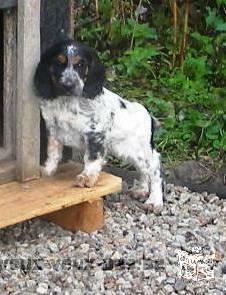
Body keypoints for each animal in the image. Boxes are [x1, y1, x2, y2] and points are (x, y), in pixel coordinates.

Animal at [34, 39, 164, 212]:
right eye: (58, 63)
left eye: (80, 64)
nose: (68, 85)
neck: (67, 102)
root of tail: (148, 116)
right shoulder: (54, 130)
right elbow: (53, 153)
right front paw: (47, 170)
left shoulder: (94, 133)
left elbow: (91, 158)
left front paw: (86, 178)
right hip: (127, 151)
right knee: (143, 170)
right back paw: (141, 190)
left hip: (140, 150)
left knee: (154, 168)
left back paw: (154, 201)